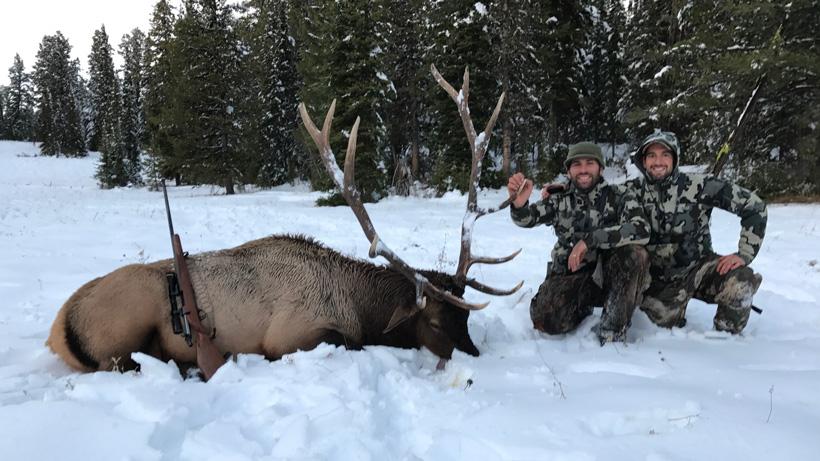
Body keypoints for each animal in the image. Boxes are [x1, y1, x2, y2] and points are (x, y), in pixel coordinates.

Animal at [46, 65, 521, 377]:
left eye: (466, 319)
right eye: (437, 321)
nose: (476, 356)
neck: (356, 307)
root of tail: (61, 327)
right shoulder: (291, 333)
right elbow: (344, 342)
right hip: (129, 320)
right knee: (124, 362)